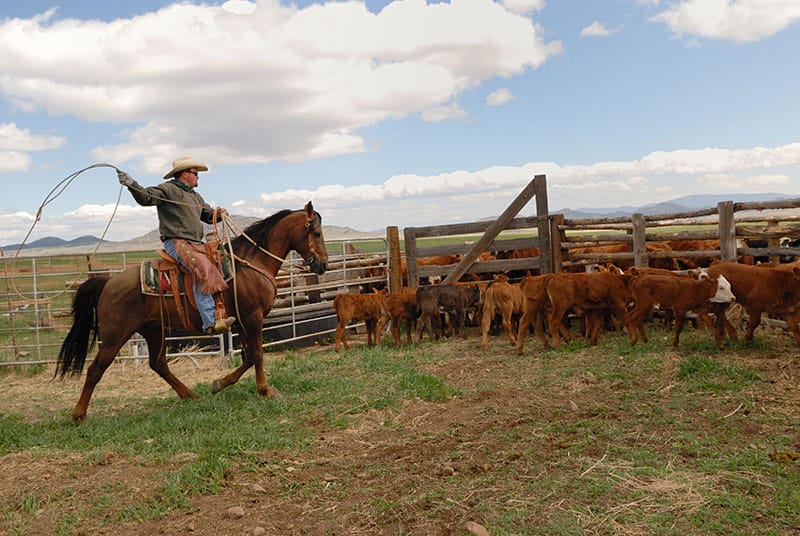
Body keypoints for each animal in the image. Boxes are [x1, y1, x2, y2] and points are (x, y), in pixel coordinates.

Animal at [57, 201, 328, 422]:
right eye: (316, 233)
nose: (323, 264)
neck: (252, 263)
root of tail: (107, 283)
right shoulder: (253, 318)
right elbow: (257, 355)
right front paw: (265, 390)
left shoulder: (242, 321)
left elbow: (249, 356)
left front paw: (219, 384)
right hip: (116, 335)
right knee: (96, 369)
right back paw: (78, 414)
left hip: (154, 330)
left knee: (158, 364)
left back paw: (190, 395)